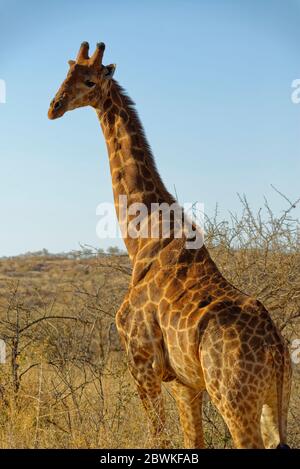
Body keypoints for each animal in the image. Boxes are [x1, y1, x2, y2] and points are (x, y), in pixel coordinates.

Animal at [48, 42, 292, 448]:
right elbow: (192, 441)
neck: (143, 235)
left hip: (234, 399)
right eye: (65, 74)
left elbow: (159, 439)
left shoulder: (142, 364)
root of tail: (276, 348)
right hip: (278, 399)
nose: (54, 106)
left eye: (90, 80)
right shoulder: (184, 384)